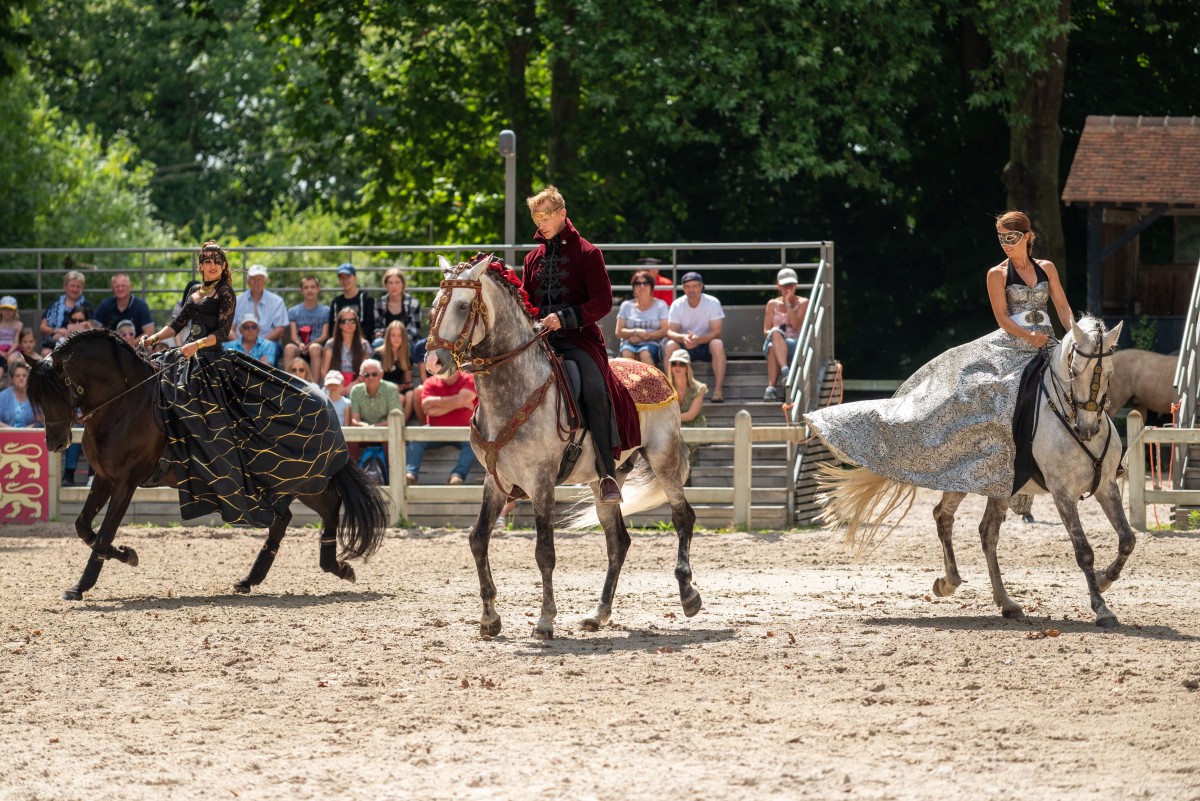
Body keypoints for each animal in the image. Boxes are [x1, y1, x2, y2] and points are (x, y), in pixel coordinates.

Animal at [21, 328, 389, 601]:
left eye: (60, 392)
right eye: (37, 398)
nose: (56, 444)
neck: (123, 403)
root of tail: (323, 400)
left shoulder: (127, 480)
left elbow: (104, 531)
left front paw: (82, 585)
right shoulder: (104, 477)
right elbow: (84, 526)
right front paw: (126, 554)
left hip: (298, 477)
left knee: (329, 505)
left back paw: (335, 567)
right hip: (281, 482)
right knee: (288, 517)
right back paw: (254, 579)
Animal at [425, 255, 700, 639]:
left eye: (463, 306)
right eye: (436, 304)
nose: (434, 361)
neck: (515, 389)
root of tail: (655, 373)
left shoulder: (541, 482)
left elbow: (545, 552)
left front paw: (545, 619)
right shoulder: (495, 480)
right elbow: (478, 539)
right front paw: (490, 618)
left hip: (665, 461)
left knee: (682, 517)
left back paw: (688, 595)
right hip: (605, 481)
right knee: (618, 541)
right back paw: (598, 614)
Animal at [816, 317, 1136, 628]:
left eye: (1109, 373)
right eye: (1074, 370)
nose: (1087, 428)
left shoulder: (1106, 486)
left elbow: (1127, 539)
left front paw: (1104, 580)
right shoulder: (1063, 493)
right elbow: (1084, 551)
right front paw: (1101, 609)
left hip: (999, 486)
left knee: (987, 533)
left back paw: (1006, 602)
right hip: (961, 478)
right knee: (943, 517)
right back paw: (949, 583)